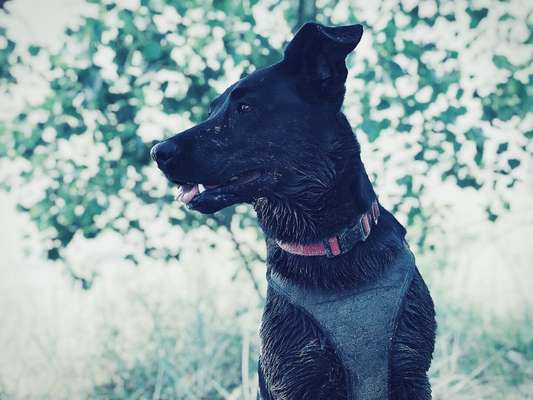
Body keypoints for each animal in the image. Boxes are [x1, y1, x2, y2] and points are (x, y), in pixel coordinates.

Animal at [152, 22, 434, 400]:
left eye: (245, 108)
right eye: (212, 110)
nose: (158, 151)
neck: (328, 246)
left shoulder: (411, 370)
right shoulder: (296, 375)